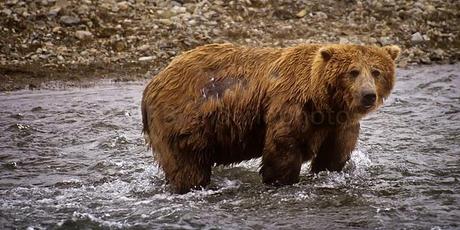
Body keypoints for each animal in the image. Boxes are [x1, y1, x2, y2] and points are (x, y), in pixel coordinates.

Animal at [141, 43, 398, 194]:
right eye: (353, 71)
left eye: (376, 71)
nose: (368, 95)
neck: (322, 102)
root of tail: (153, 82)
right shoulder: (290, 106)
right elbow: (283, 148)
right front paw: (280, 181)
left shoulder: (339, 125)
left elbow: (334, 156)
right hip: (186, 118)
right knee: (188, 164)